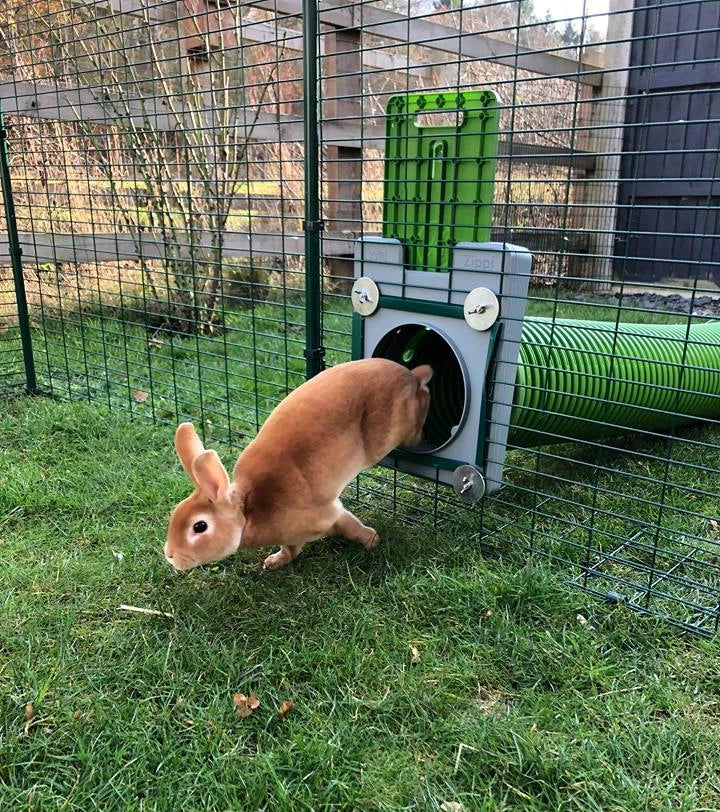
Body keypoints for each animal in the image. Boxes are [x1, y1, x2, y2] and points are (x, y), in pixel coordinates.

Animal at [165, 356, 434, 572]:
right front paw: (274, 562)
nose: (169, 555)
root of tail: (406, 373)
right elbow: (290, 549)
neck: (249, 512)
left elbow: (349, 525)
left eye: (200, 526)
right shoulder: (291, 536)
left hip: (388, 434)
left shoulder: (329, 514)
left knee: (421, 399)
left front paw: (371, 540)